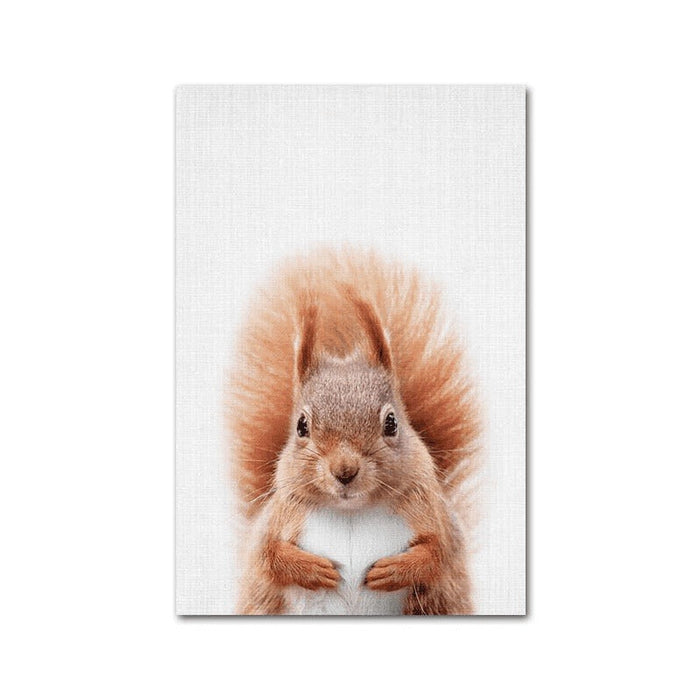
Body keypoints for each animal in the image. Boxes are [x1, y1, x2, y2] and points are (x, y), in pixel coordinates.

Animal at [228, 248, 480, 615]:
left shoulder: (436, 516)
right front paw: (311, 569)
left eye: (391, 423)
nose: (345, 471)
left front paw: (396, 569)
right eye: (301, 426)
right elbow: (268, 555)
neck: (352, 513)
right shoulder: (276, 519)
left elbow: (440, 552)